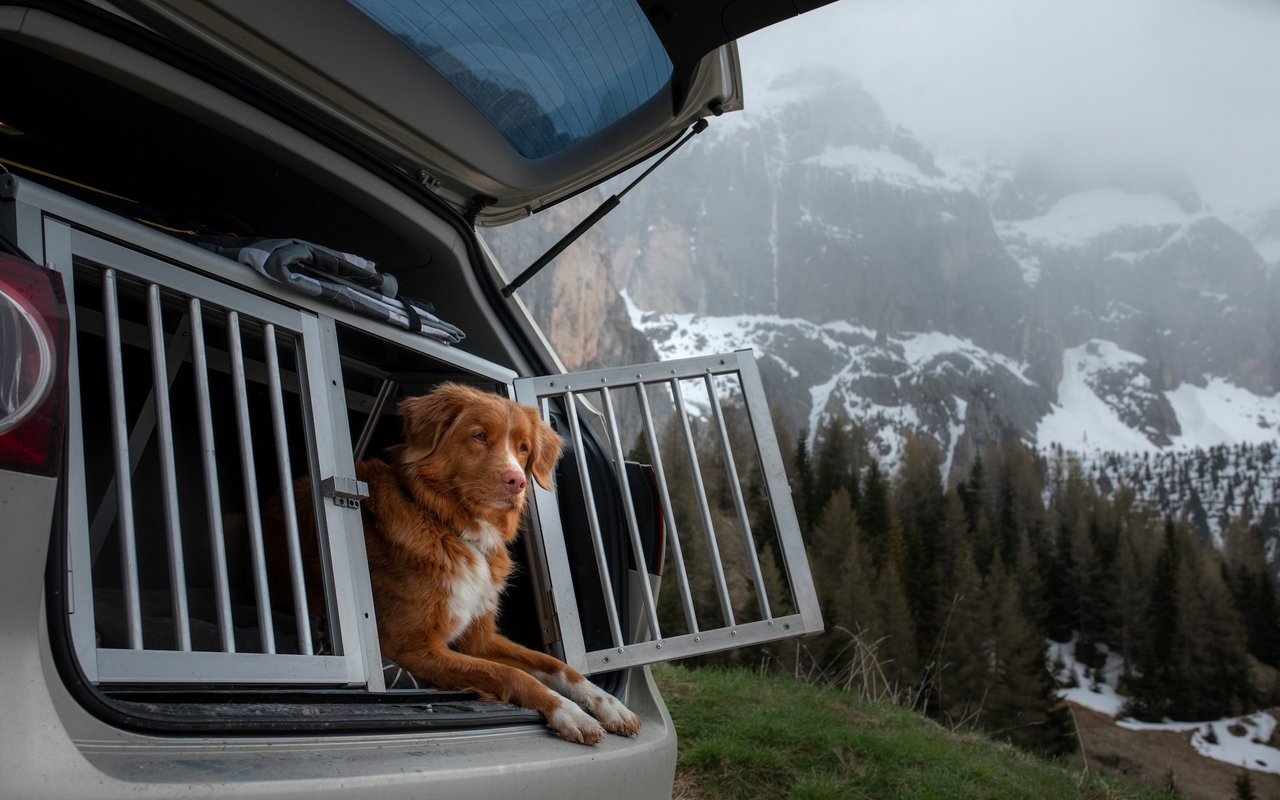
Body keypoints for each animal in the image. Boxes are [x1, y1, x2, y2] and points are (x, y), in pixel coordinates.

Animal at [350, 381, 640, 742]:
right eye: (479, 436)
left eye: (523, 448)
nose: (517, 481)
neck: (454, 529)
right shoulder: (411, 647)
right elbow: (511, 674)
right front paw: (569, 712)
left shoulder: (480, 638)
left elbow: (556, 665)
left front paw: (609, 705)